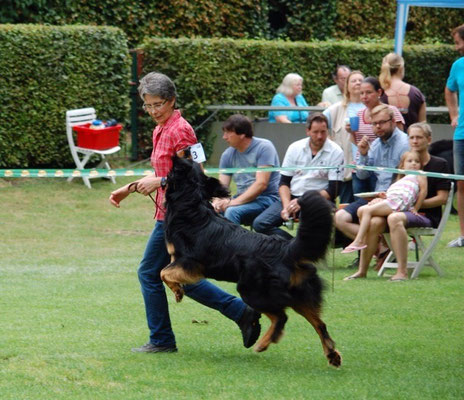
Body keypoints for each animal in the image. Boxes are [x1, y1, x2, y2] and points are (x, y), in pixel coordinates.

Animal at [162, 156, 340, 368]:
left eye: (182, 164)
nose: (178, 154)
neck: (191, 202)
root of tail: (286, 249)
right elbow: (165, 273)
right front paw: (178, 290)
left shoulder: (189, 262)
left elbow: (163, 273)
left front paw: (178, 291)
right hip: (298, 293)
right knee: (320, 324)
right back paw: (332, 355)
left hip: (252, 291)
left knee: (281, 316)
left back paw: (263, 343)